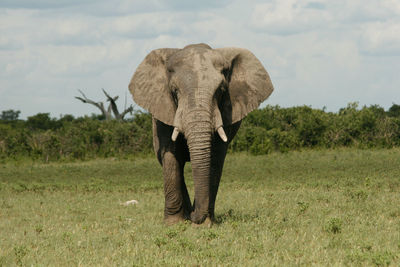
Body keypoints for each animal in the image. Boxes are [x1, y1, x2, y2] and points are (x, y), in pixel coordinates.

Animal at [130, 43, 274, 226]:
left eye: (221, 91)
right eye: (175, 91)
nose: (194, 216)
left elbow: (215, 159)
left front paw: (204, 224)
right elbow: (171, 157)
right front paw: (173, 223)